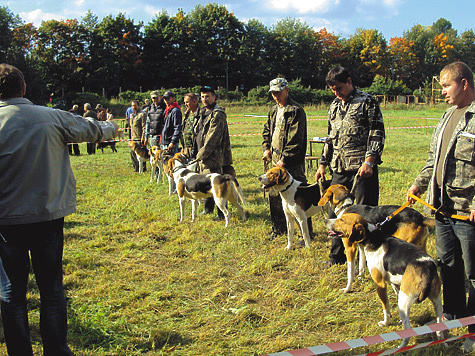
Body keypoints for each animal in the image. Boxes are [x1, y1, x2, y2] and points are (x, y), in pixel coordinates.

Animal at [328, 214, 446, 348]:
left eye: (342, 220)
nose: (326, 221)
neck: (372, 237)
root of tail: (427, 267)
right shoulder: (395, 285)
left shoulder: (380, 284)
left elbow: (386, 307)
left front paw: (385, 322)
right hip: (437, 301)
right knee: (440, 327)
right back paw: (442, 343)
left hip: (404, 302)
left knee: (408, 330)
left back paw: (401, 346)